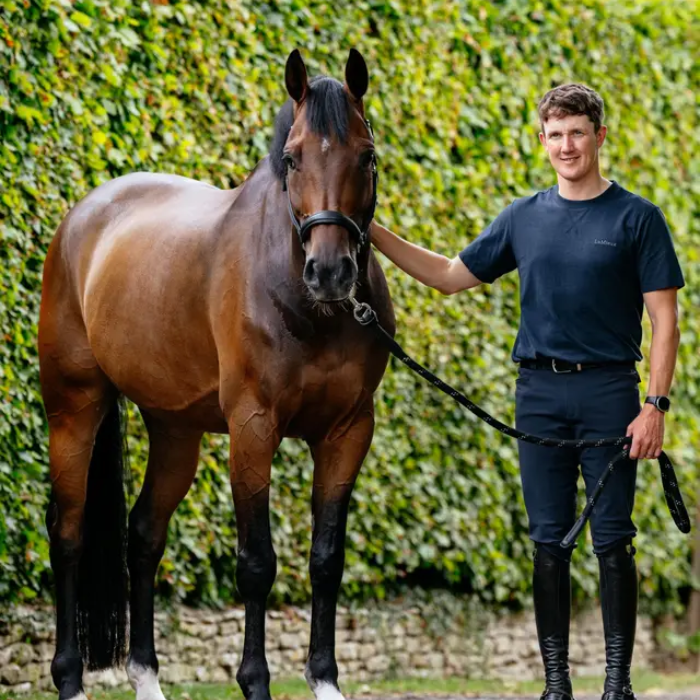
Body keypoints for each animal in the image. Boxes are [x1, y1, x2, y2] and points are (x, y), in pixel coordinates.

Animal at [38, 48, 395, 700]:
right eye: (292, 158)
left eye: (367, 155)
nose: (329, 271)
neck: (305, 306)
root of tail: (84, 216)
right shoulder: (253, 430)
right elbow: (256, 563)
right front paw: (255, 682)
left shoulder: (349, 433)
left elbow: (326, 559)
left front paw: (325, 680)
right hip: (73, 409)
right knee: (68, 534)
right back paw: (70, 678)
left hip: (174, 431)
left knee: (144, 535)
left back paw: (147, 677)